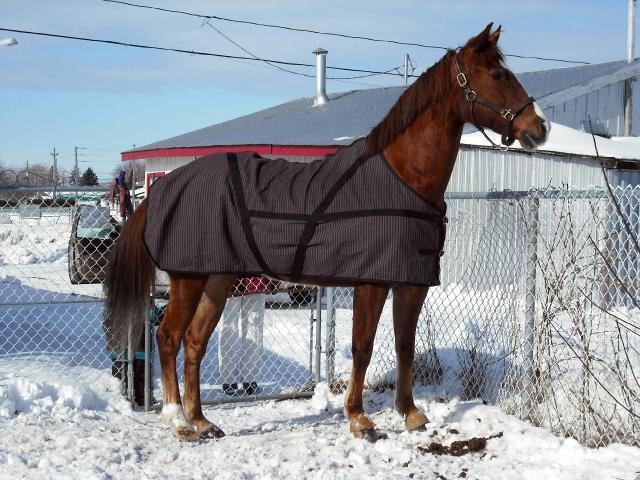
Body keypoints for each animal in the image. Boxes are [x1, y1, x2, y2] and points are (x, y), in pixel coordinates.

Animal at [104, 23, 549, 442]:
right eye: (497, 74)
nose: (539, 128)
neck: (403, 177)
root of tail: (162, 187)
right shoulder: (372, 282)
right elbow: (362, 347)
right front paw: (359, 418)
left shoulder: (411, 282)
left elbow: (405, 345)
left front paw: (410, 413)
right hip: (188, 279)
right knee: (167, 338)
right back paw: (178, 422)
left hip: (217, 279)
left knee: (195, 342)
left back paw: (202, 421)